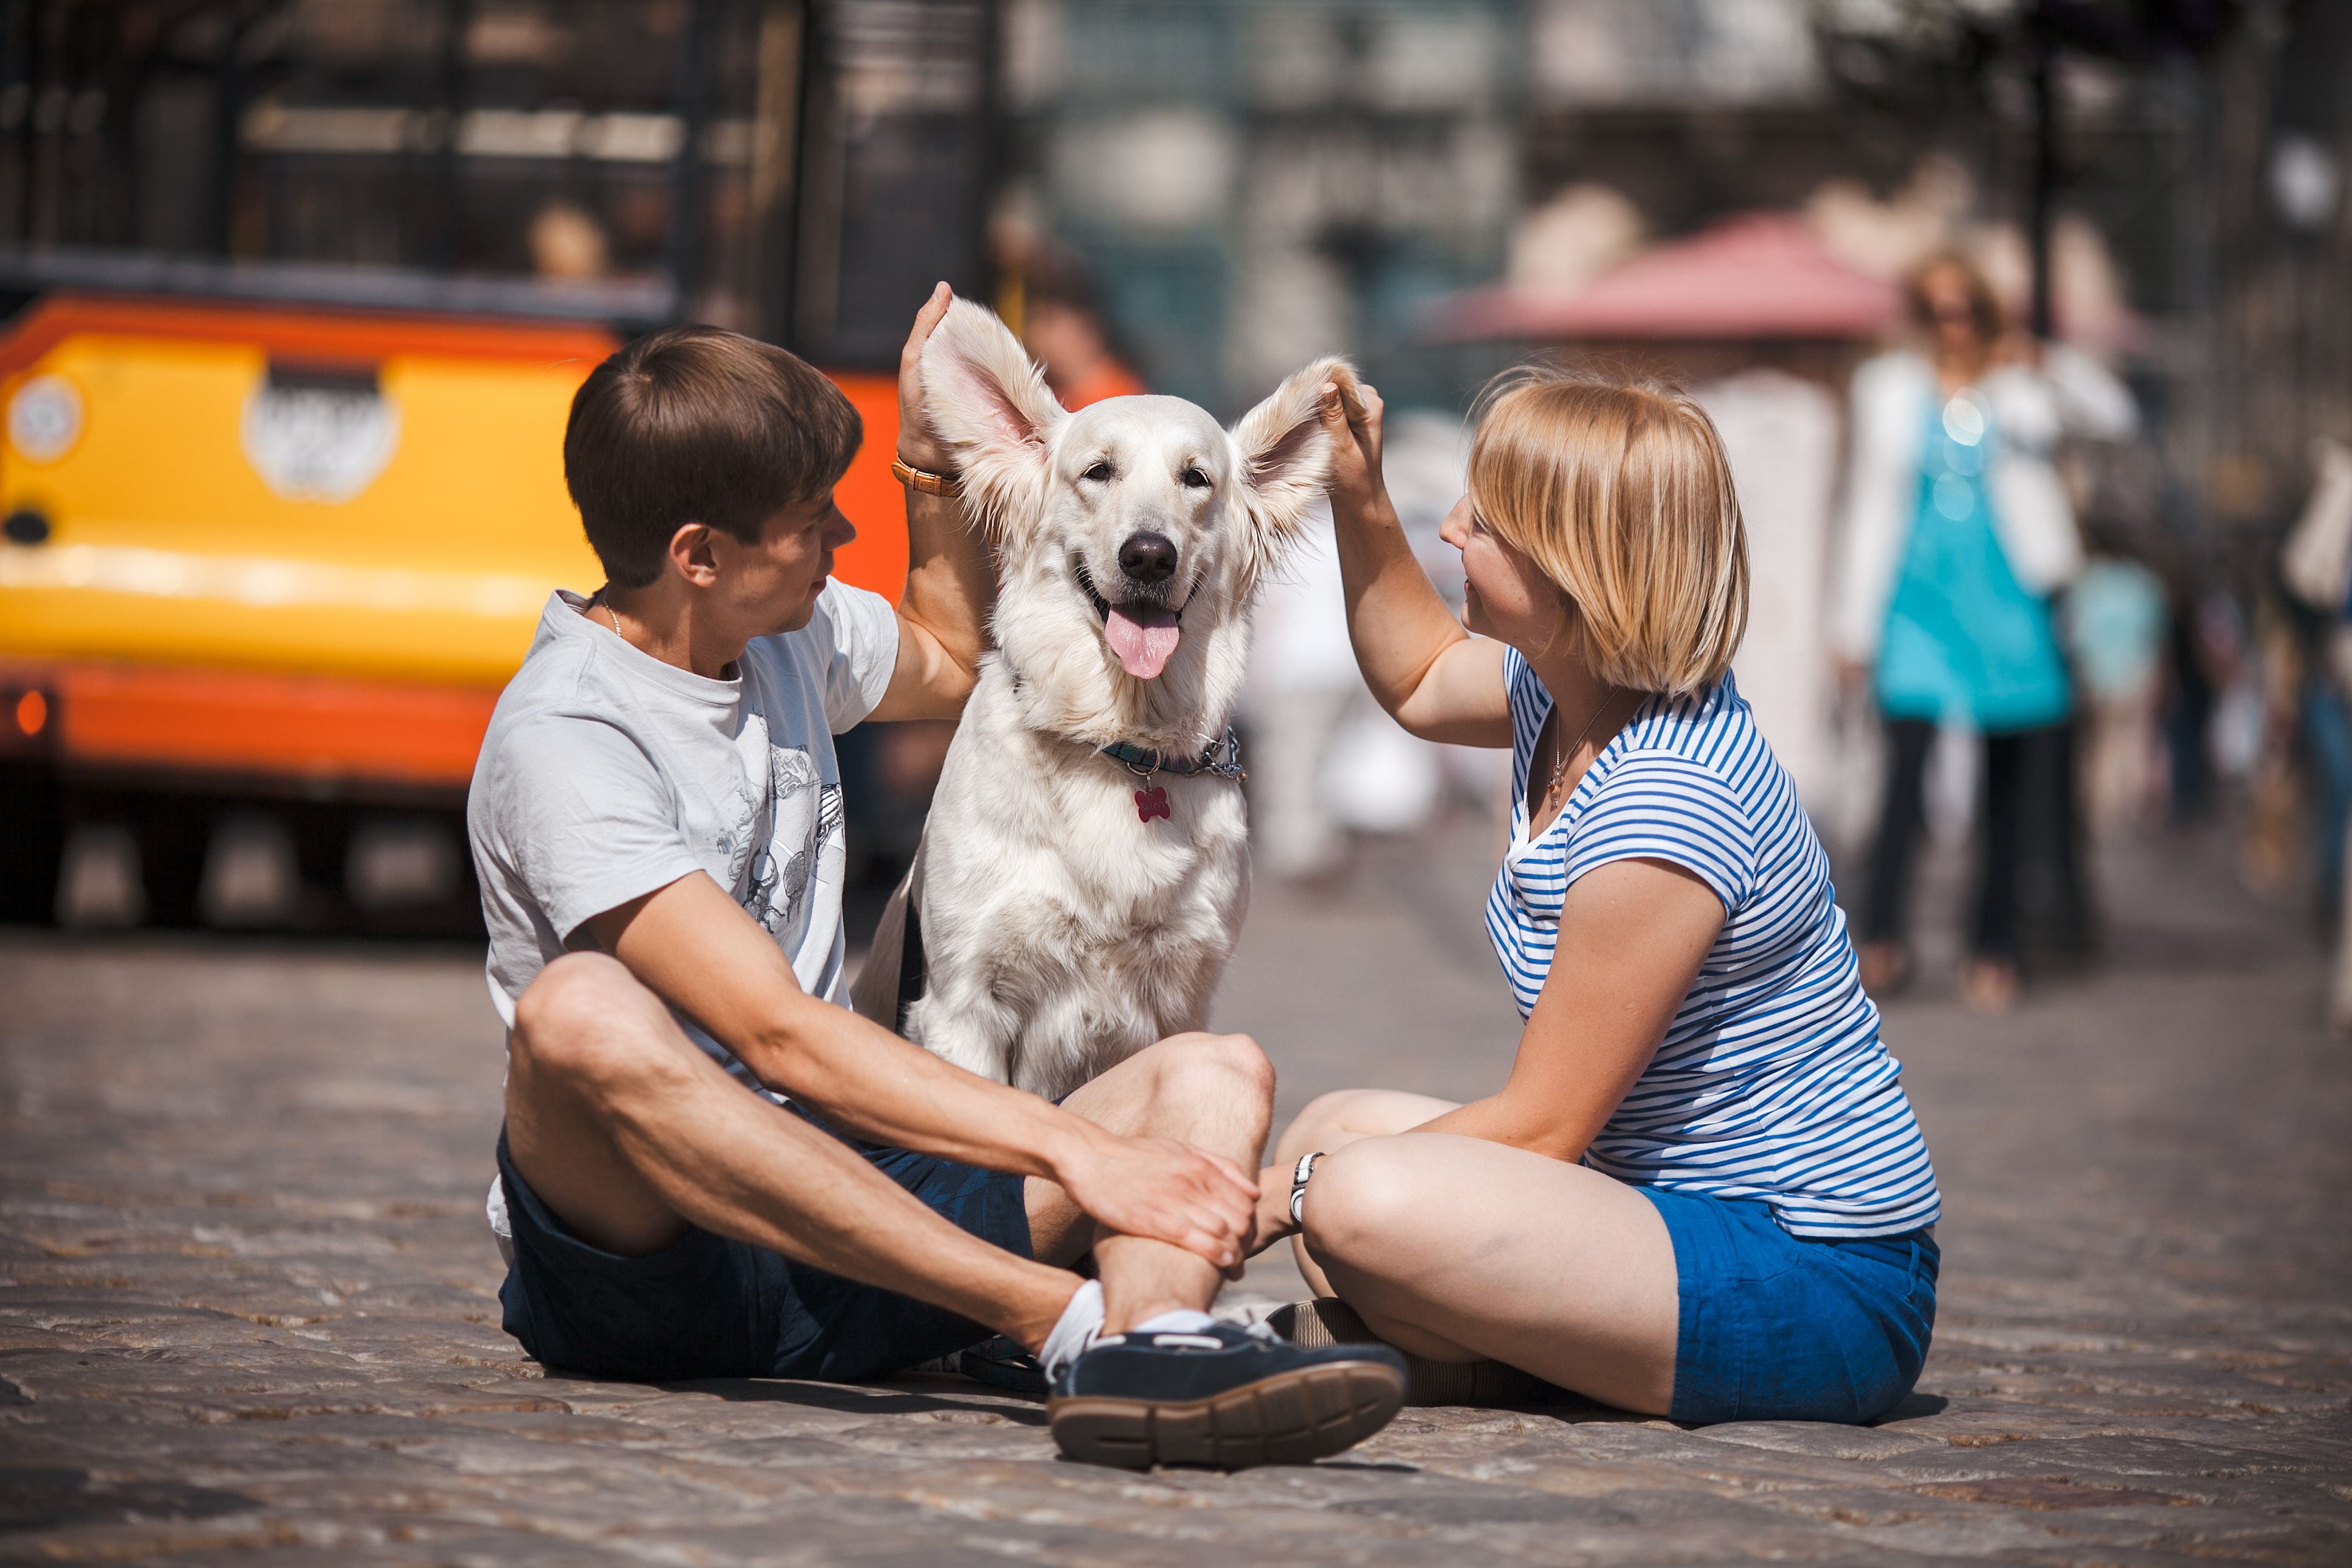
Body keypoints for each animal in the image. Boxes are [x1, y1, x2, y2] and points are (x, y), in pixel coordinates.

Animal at [856, 300, 1345, 1100]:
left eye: (1196, 479)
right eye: (1098, 471)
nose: (1149, 556)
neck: (1120, 738)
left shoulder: (1178, 1004)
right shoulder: (963, 1003)